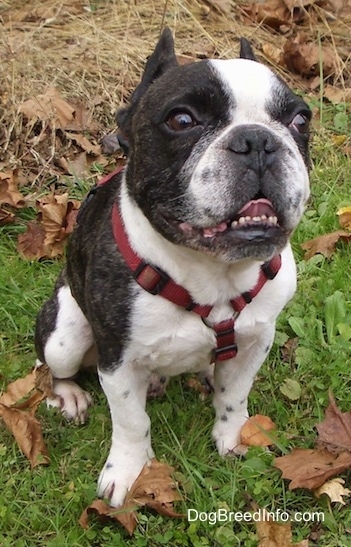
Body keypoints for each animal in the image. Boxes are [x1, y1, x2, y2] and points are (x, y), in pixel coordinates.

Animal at [35, 28, 310, 510]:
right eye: (182, 120)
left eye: (299, 120)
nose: (258, 141)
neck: (214, 272)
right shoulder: (117, 359)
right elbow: (131, 421)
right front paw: (129, 471)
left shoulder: (257, 339)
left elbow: (235, 395)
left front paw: (232, 437)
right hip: (65, 335)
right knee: (57, 365)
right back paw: (69, 395)